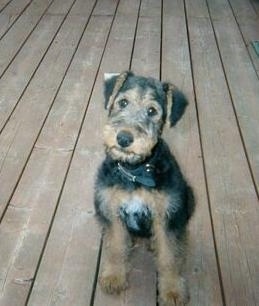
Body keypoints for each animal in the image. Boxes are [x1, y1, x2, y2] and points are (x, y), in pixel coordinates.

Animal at [95, 71, 195, 304]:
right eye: (123, 102)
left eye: (152, 111)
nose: (123, 138)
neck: (135, 172)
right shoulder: (112, 211)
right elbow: (116, 247)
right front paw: (114, 277)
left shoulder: (166, 216)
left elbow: (169, 256)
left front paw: (172, 291)